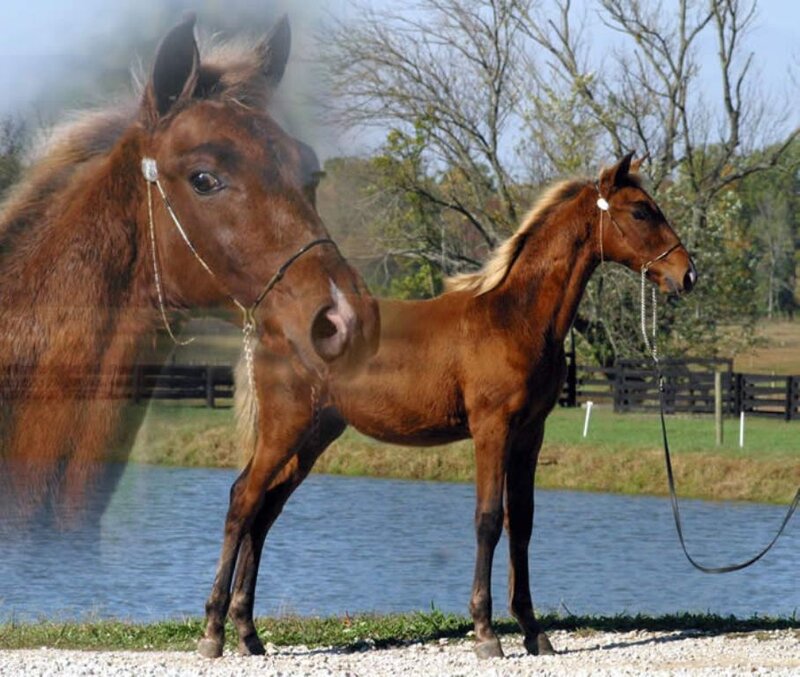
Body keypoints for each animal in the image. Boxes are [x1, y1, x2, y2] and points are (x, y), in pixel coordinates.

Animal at [198, 152, 697, 659]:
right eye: (641, 211)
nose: (687, 274)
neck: (515, 318)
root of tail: (269, 326)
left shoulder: (529, 434)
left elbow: (522, 522)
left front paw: (533, 631)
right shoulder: (492, 429)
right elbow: (489, 520)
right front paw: (486, 633)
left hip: (314, 435)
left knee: (265, 510)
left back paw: (248, 633)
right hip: (287, 427)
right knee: (243, 500)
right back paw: (214, 631)